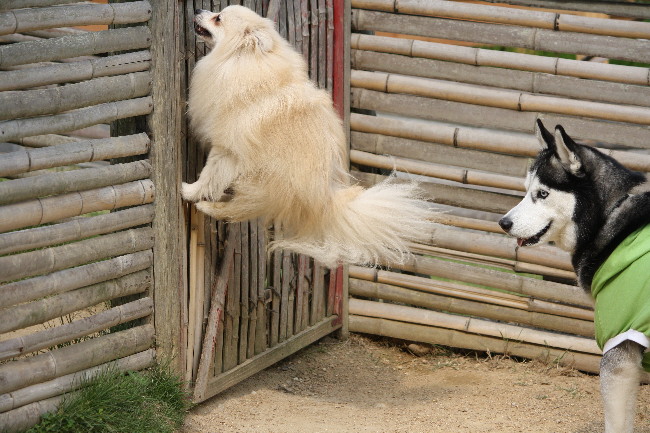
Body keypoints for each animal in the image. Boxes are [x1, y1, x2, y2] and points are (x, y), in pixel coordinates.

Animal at [182, 5, 433, 268]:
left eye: (218, 18)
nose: (198, 9)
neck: (241, 60)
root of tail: (327, 202)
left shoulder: (227, 150)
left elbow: (209, 175)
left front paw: (188, 190)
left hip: (267, 181)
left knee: (240, 209)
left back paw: (208, 206)